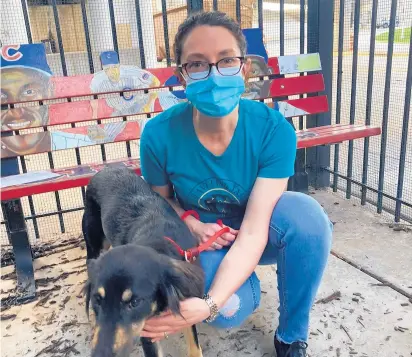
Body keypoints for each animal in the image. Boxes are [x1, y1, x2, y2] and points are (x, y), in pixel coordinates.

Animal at [82, 167, 206, 356]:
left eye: (134, 303)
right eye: (98, 299)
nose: (100, 354)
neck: (157, 241)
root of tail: (106, 169)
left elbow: (194, 347)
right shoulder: (146, 331)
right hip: (94, 246)